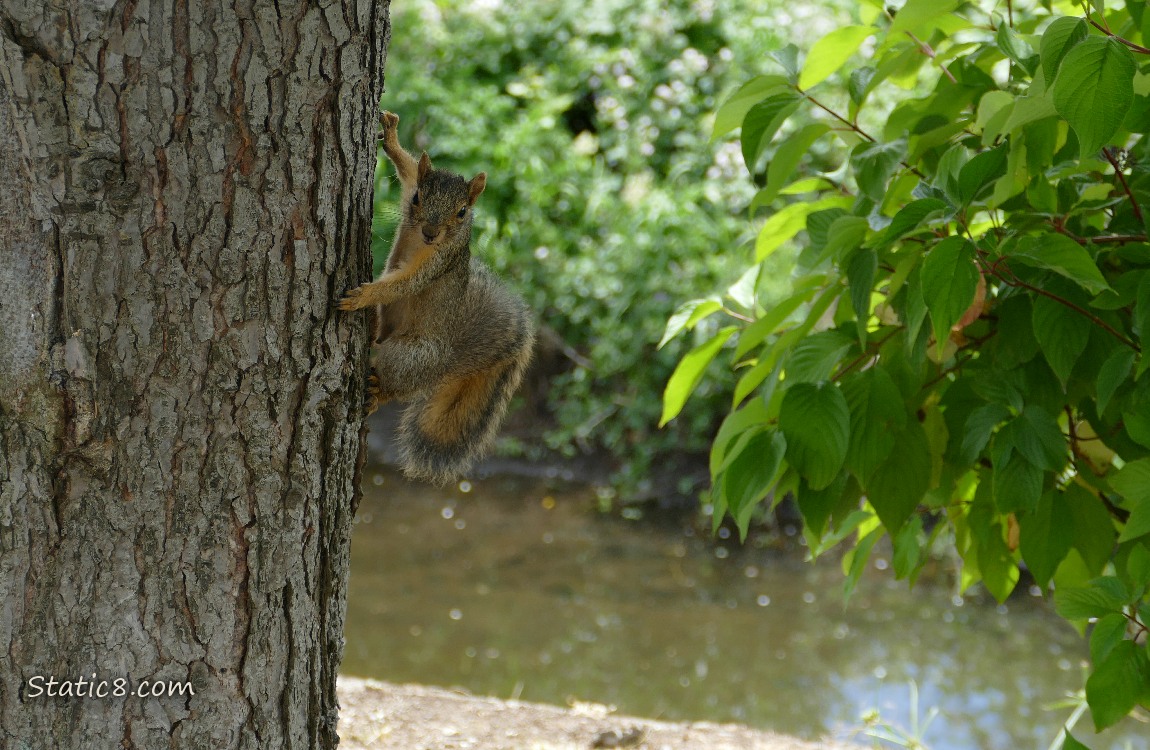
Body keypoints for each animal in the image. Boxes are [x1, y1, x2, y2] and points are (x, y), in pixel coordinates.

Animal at [338, 111, 535, 485]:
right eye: (418, 198)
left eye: (462, 211)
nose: (430, 231)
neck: (421, 240)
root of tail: (446, 364)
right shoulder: (408, 191)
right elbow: (408, 168)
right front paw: (392, 137)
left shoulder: (437, 263)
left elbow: (403, 283)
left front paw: (364, 295)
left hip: (410, 356)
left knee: (397, 383)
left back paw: (378, 392)